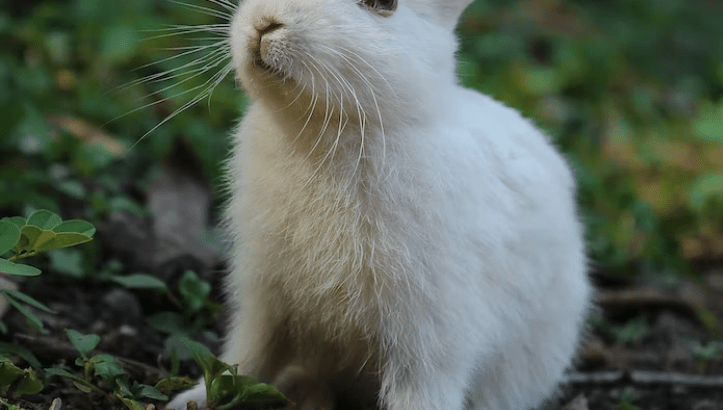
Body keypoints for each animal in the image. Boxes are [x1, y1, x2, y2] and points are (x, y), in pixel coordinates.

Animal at [167, 0, 592, 410]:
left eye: (382, 3)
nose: (266, 23)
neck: (328, 126)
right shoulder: (266, 300)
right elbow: (246, 358)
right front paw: (193, 399)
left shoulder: (428, 336)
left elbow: (421, 392)